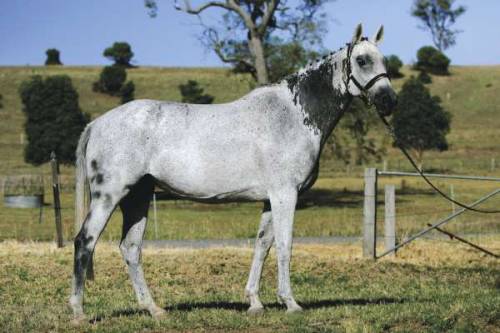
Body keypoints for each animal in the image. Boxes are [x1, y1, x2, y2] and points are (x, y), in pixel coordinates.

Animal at [70, 24, 398, 322]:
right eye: (362, 60)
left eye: (383, 60)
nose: (388, 101)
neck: (292, 116)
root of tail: (97, 124)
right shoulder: (285, 194)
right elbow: (285, 245)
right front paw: (290, 303)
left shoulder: (270, 199)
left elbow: (262, 245)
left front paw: (254, 302)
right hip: (109, 195)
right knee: (85, 241)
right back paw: (78, 312)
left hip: (137, 197)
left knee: (131, 248)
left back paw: (154, 309)